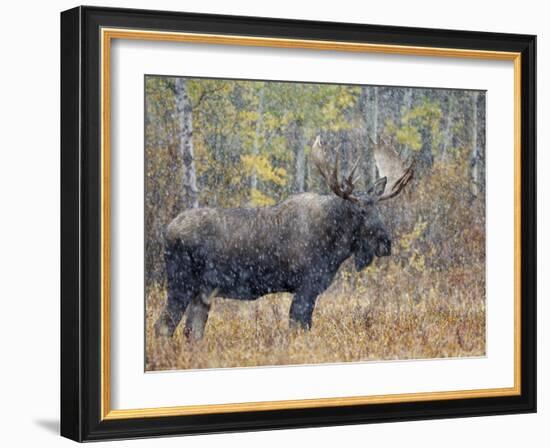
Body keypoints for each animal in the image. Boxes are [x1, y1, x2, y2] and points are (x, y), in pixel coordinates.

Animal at [155, 136, 414, 340]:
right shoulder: (306, 285)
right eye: (360, 211)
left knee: (192, 331)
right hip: (180, 283)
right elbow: (300, 327)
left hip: (203, 291)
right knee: (164, 326)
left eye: (378, 209)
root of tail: (166, 232)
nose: (386, 243)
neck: (335, 247)